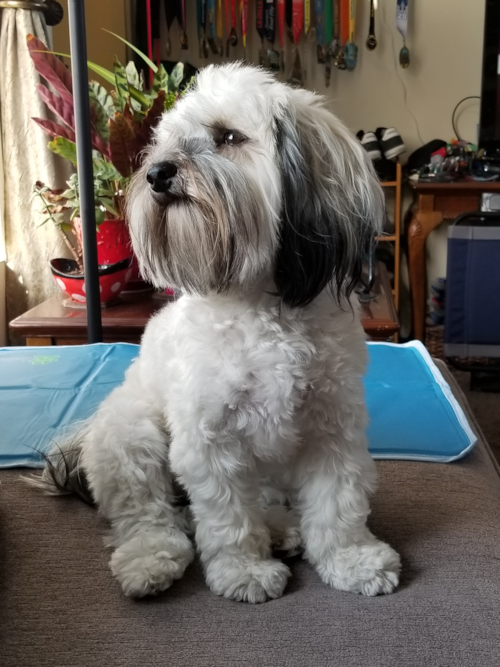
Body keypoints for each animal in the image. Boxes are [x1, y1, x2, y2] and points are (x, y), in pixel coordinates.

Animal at [31, 64, 400, 604]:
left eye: (227, 137)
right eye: (163, 144)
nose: (158, 173)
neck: (262, 307)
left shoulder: (331, 427)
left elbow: (339, 503)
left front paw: (351, 559)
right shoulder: (210, 440)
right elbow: (228, 518)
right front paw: (244, 571)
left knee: (258, 500)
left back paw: (280, 528)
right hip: (133, 438)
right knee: (150, 516)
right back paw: (151, 559)